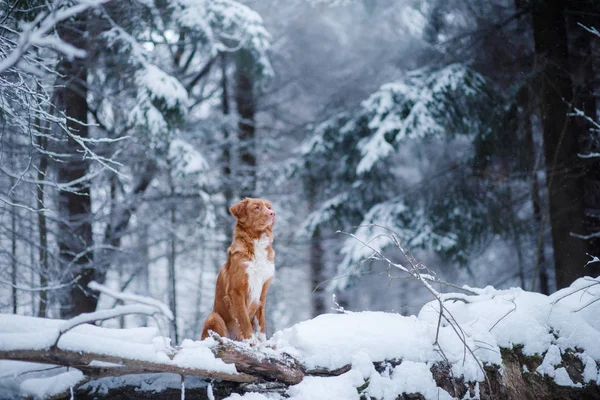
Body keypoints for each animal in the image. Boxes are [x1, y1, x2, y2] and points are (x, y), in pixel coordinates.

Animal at [202, 197, 276, 340]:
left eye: (269, 207)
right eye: (256, 207)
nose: (273, 213)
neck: (256, 242)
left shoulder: (262, 292)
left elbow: (261, 323)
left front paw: (263, 342)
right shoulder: (236, 291)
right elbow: (244, 320)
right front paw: (251, 341)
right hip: (213, 317)